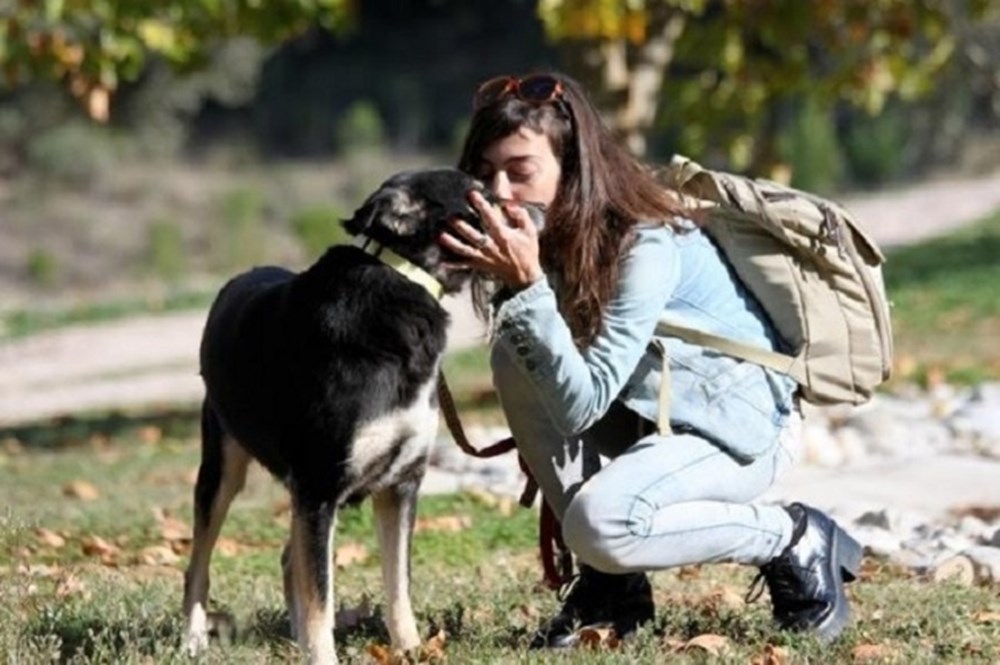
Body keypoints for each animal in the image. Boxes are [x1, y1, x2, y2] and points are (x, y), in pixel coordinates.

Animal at [184, 169, 496, 660]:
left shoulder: (399, 484)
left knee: (290, 560)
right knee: (200, 560)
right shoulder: (319, 486)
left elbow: (398, 585)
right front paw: (323, 658)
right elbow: (320, 598)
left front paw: (410, 650)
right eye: (479, 198)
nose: (541, 210)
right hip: (223, 469)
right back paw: (194, 639)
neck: (405, 280)